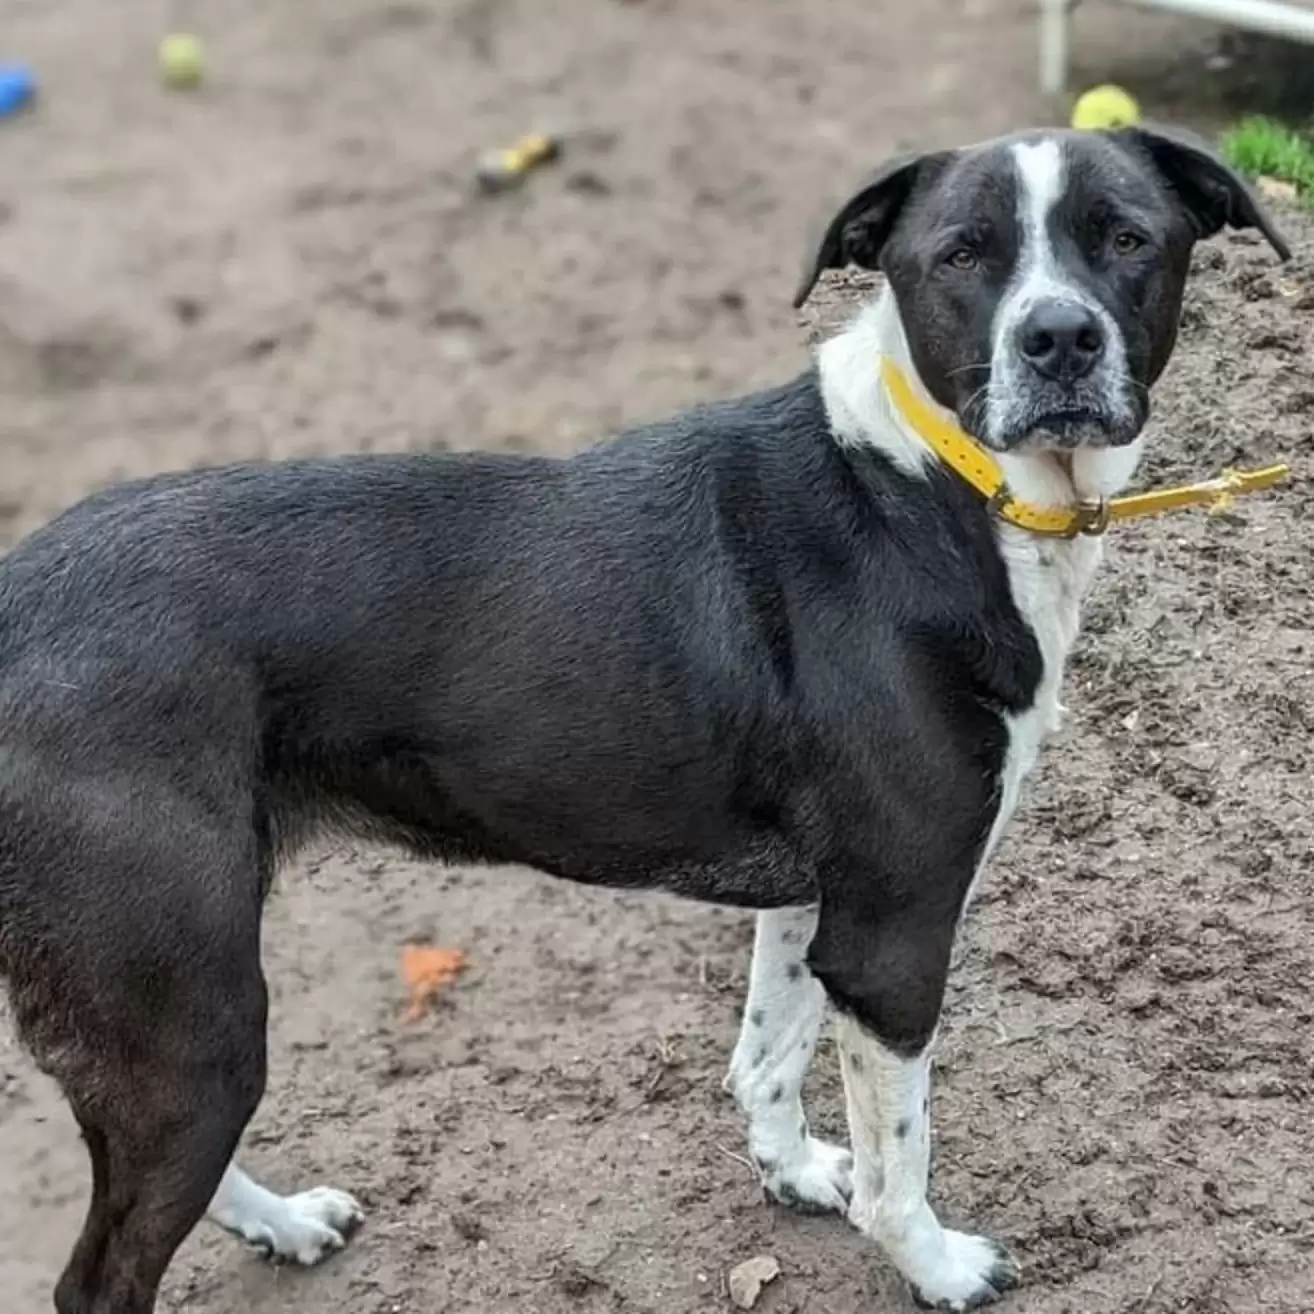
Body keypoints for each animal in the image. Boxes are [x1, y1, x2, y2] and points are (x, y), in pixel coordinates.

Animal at [0, 125, 1287, 1314]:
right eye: (961, 255)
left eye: (1128, 238)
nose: (1058, 339)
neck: (933, 479)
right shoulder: (895, 933)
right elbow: (900, 1155)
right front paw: (932, 1265)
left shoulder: (816, 905)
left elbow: (767, 1055)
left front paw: (790, 1172)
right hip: (187, 1013)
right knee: (101, 1276)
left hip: (173, 1011)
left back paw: (282, 1223)